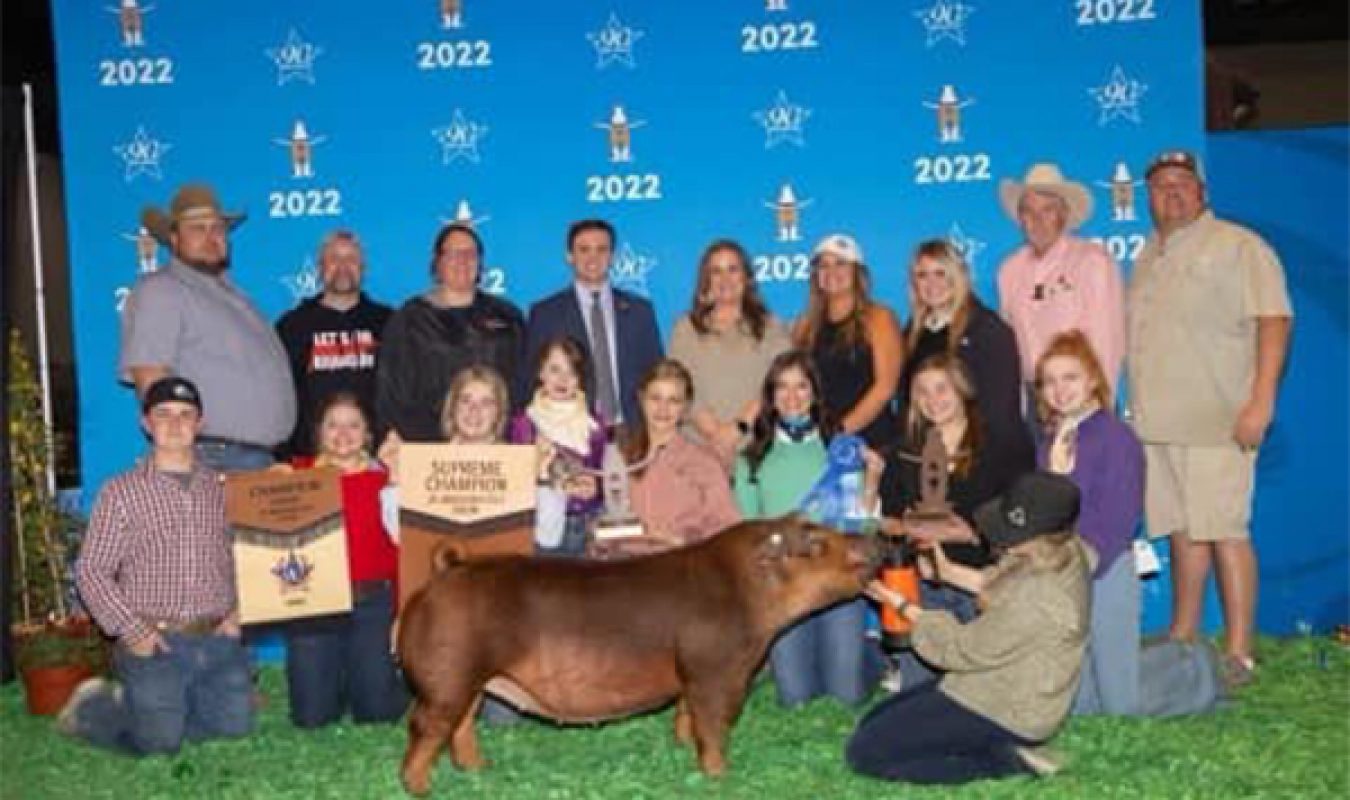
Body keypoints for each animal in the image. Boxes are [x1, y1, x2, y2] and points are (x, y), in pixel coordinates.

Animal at [394, 515, 874, 793]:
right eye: (817, 545)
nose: (879, 544)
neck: (750, 592)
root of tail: (446, 572)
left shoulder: (690, 676)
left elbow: (687, 715)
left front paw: (682, 748)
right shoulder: (716, 671)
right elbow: (714, 725)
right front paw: (720, 775)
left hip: (470, 678)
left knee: (460, 727)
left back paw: (480, 770)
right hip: (448, 676)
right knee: (424, 727)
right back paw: (420, 788)